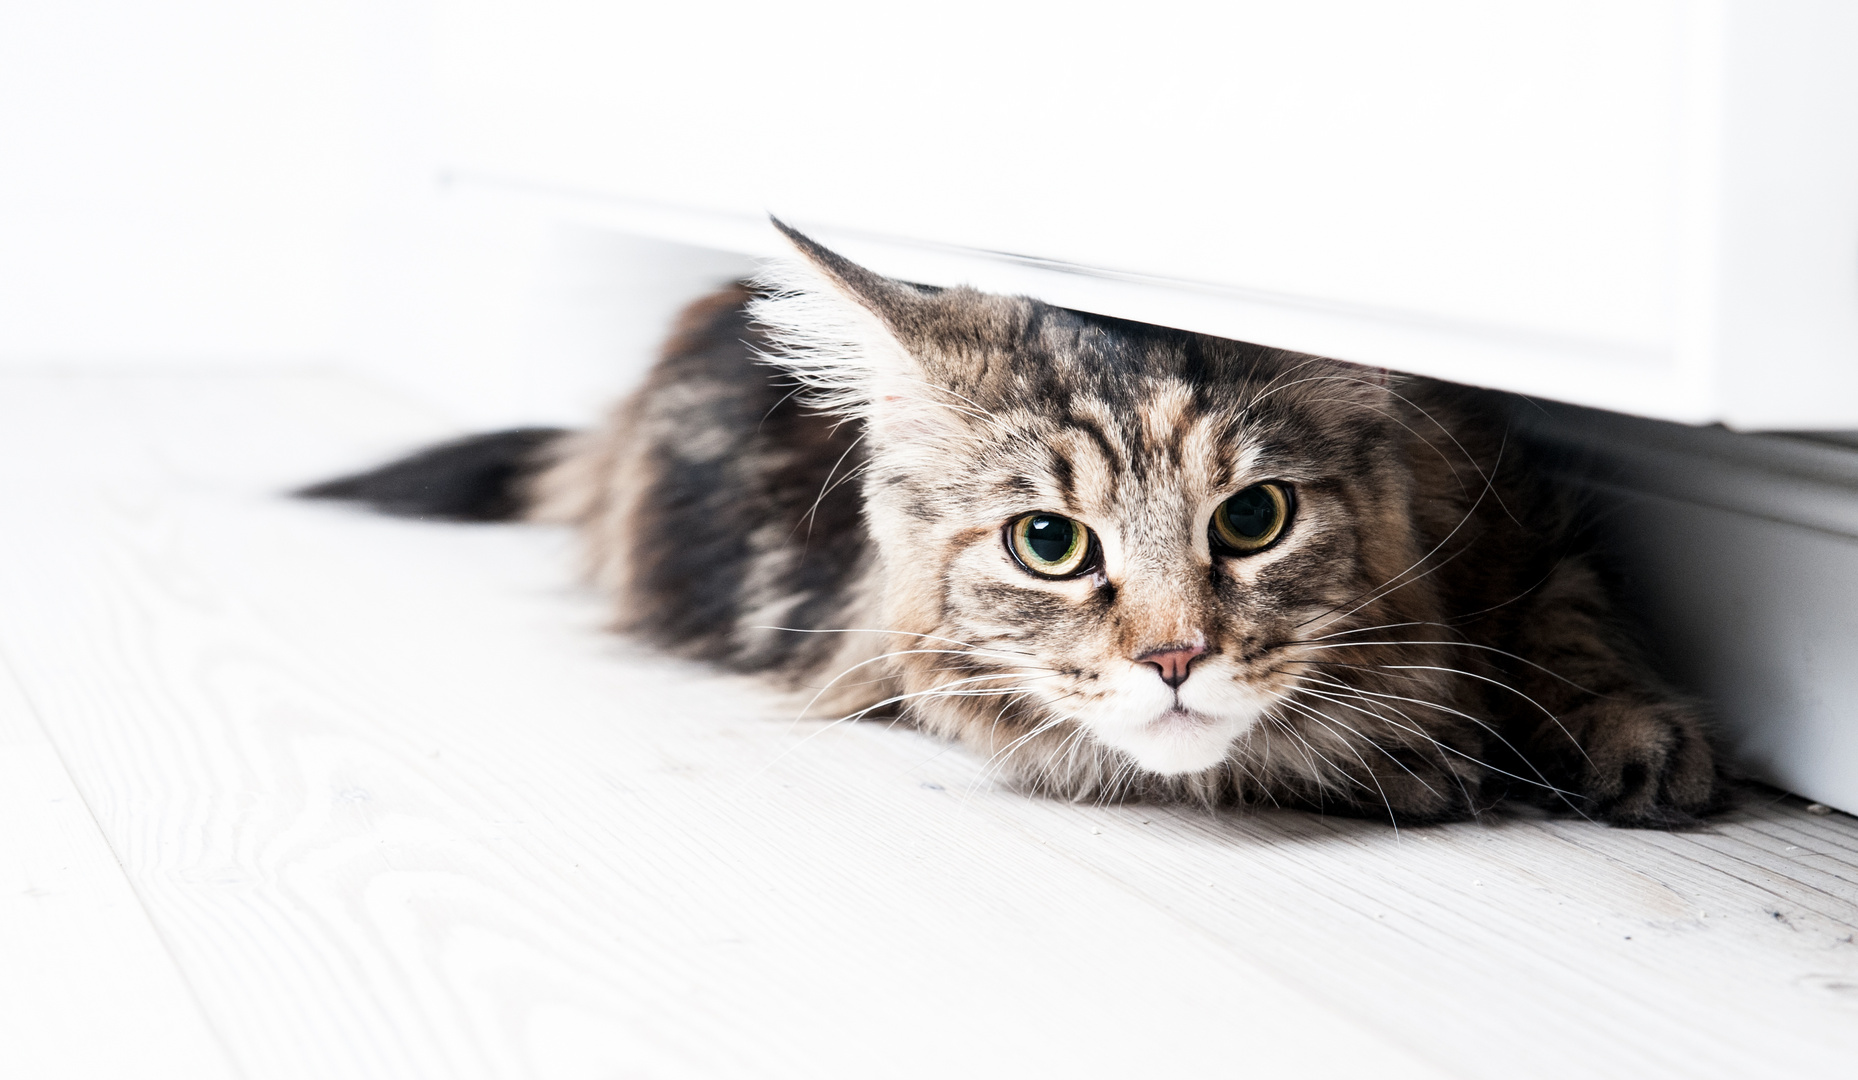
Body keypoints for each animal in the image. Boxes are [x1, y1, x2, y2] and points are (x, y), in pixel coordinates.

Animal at [297, 219, 1716, 825]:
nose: (1175, 657)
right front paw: (1411, 757)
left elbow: (1574, 626)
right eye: (1050, 544)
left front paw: (1633, 740)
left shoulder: (1525, 514)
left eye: (1253, 519)